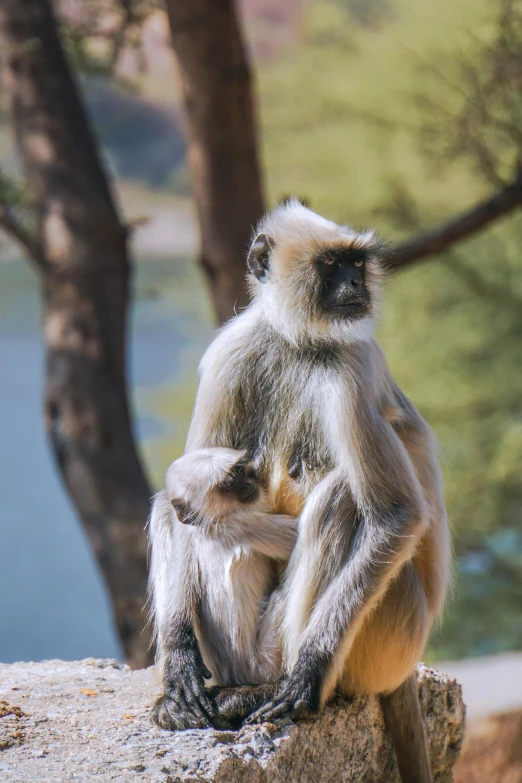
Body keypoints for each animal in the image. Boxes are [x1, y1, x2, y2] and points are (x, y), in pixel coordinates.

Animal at [151, 450, 296, 732]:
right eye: (228, 484)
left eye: (239, 470)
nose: (249, 482)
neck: (214, 523)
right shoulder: (245, 525)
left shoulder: (198, 531)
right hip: (265, 659)